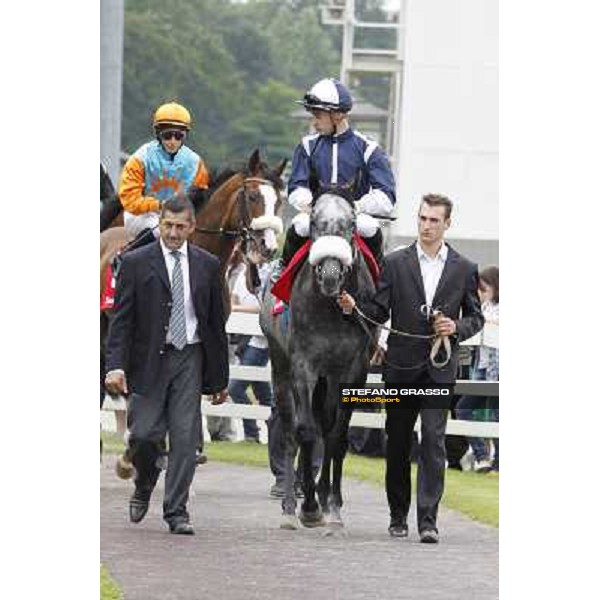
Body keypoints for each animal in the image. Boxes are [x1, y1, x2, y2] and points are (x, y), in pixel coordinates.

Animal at [258, 191, 376, 528]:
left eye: (351, 224)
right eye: (313, 222)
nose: (331, 275)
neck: (331, 309)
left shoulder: (353, 371)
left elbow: (336, 436)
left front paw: (331, 503)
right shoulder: (303, 367)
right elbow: (306, 432)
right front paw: (308, 507)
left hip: (330, 378)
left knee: (325, 423)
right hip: (281, 367)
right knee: (290, 429)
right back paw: (289, 504)